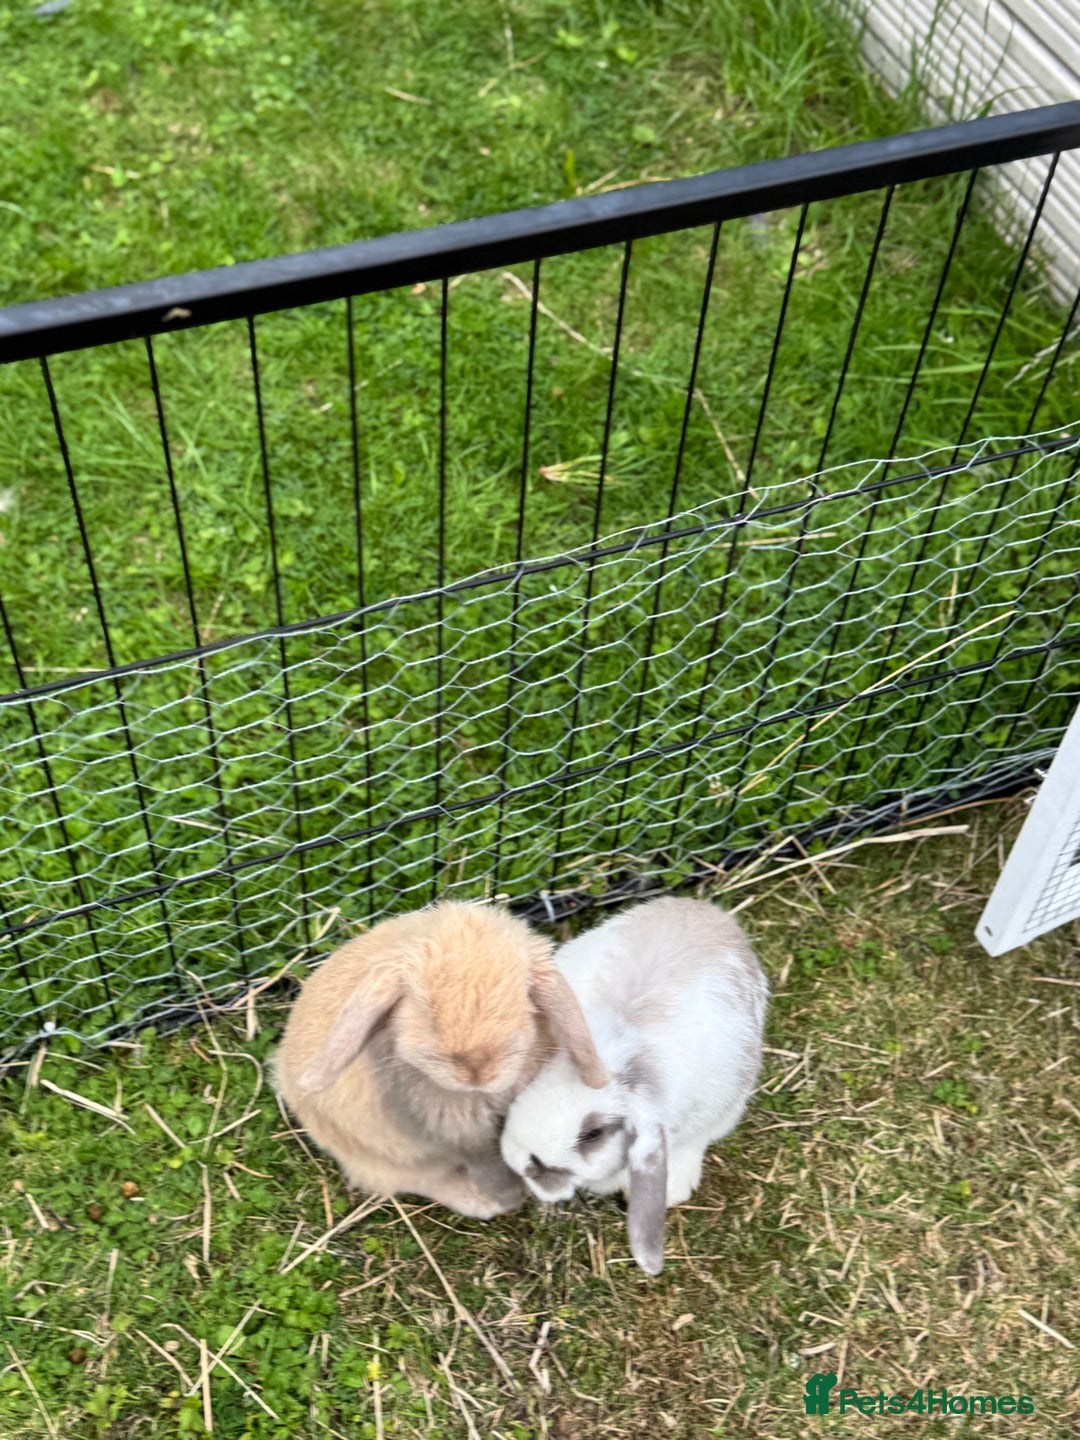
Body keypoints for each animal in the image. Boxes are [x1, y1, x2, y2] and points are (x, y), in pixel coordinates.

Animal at [274, 901, 608, 1219]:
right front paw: (510, 1198)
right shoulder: (461, 1137)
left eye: (522, 1001)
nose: (476, 1071)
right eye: (426, 1012)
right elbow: (487, 1165)